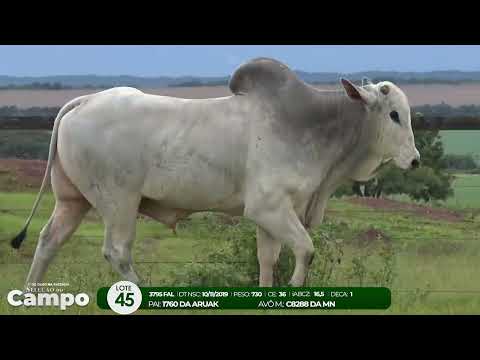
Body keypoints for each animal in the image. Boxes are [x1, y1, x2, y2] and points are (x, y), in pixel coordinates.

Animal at [9, 58, 418, 286]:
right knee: (117, 253)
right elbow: (305, 251)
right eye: (394, 114)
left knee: (48, 241)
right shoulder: (269, 207)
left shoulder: (271, 216)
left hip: (72, 200)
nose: (414, 160)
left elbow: (268, 261)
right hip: (119, 201)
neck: (309, 125)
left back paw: (31, 294)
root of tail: (84, 100)